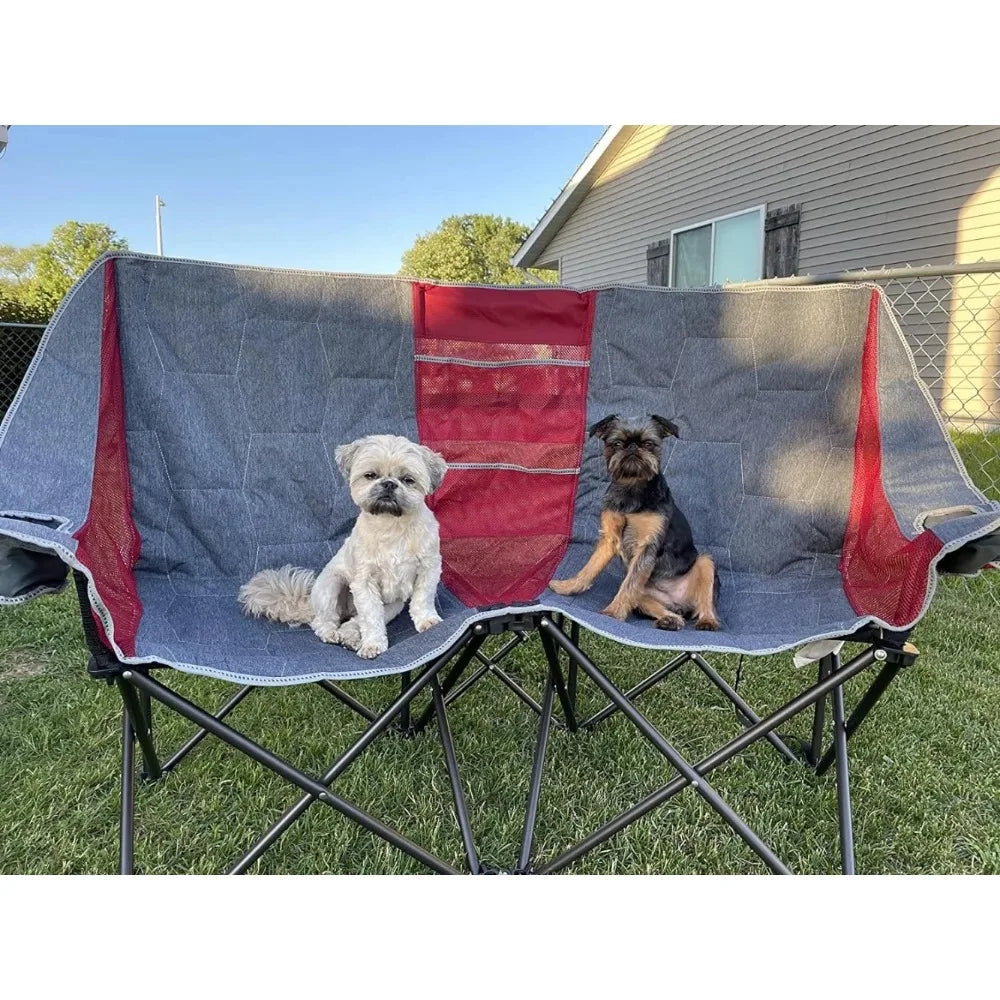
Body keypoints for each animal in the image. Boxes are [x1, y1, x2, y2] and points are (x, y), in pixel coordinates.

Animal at [238, 436, 446, 656]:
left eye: (408, 479)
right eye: (371, 475)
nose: (389, 484)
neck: (392, 527)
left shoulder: (428, 568)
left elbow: (422, 599)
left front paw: (427, 621)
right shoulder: (364, 582)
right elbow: (371, 619)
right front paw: (373, 644)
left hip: (392, 607)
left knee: (353, 622)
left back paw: (350, 637)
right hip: (330, 586)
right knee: (323, 621)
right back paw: (332, 633)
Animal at [548, 414, 720, 632]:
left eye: (648, 444)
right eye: (617, 444)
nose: (631, 447)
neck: (631, 488)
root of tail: (677, 603)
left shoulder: (647, 547)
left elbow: (628, 587)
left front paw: (613, 613)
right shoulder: (609, 540)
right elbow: (589, 569)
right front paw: (568, 586)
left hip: (706, 562)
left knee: (706, 602)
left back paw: (707, 621)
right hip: (647, 595)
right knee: (653, 604)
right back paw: (669, 619)